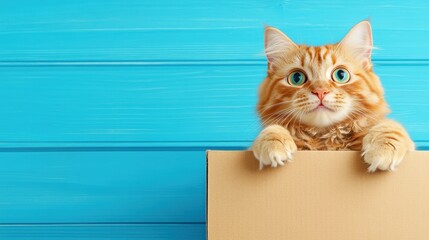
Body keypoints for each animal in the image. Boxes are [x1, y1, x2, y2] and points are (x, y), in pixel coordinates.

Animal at [252, 19, 412, 172]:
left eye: (341, 75)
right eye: (296, 78)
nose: (320, 91)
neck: (326, 141)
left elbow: (390, 126)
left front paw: (383, 149)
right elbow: (273, 129)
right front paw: (272, 143)